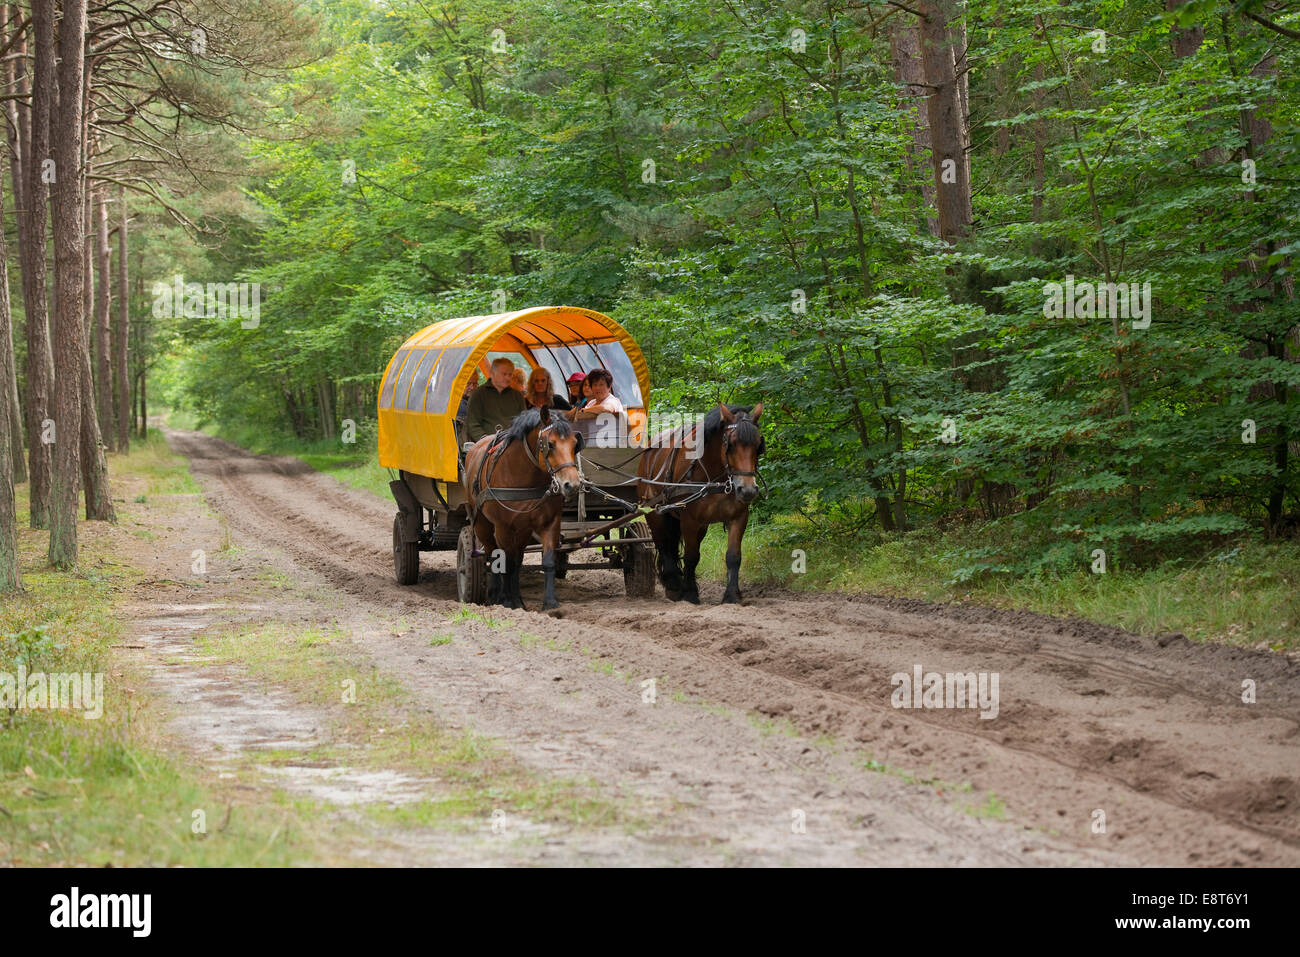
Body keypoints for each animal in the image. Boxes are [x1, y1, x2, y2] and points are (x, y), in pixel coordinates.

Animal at [465, 408, 582, 608]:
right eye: (550, 444)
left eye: (575, 444)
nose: (572, 485)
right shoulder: (502, 527)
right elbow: (505, 563)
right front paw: (506, 602)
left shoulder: (550, 523)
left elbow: (547, 561)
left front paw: (550, 602)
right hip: (482, 524)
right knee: (492, 555)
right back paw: (495, 595)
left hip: (522, 530)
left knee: (517, 560)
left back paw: (517, 599)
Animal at [637, 403, 759, 605]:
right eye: (730, 444)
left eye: (758, 444)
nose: (748, 490)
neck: (715, 477)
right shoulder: (689, 519)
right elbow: (691, 556)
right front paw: (689, 594)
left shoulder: (739, 516)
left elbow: (733, 556)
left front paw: (732, 595)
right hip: (654, 512)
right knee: (663, 544)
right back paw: (673, 585)